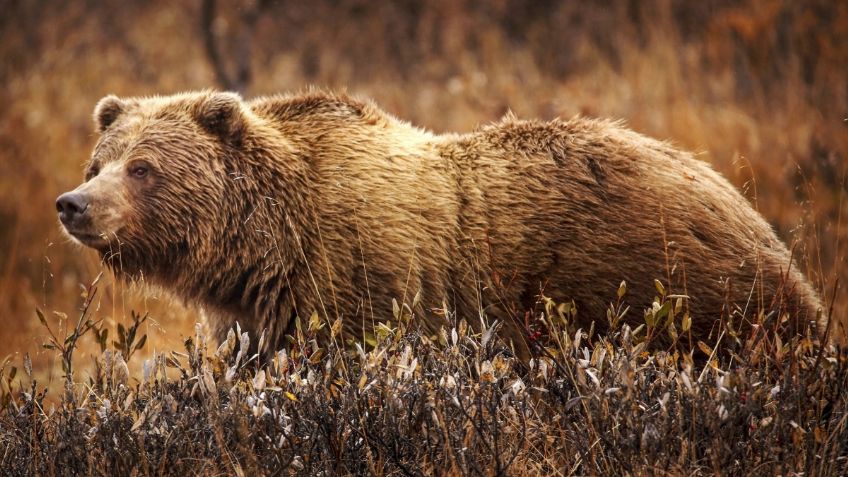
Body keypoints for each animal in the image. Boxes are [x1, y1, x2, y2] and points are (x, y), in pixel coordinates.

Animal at [58, 91, 820, 356]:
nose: (74, 203)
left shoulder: (360, 282)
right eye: (100, 159)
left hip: (673, 289)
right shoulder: (260, 314)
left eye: (144, 168)